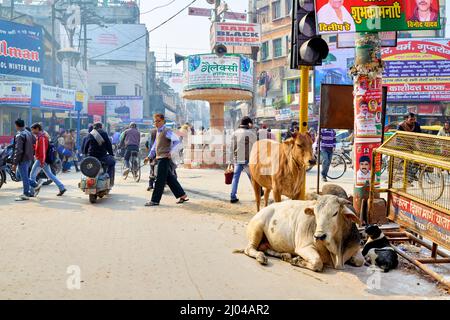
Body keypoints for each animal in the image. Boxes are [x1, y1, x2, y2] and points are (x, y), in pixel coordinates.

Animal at [236, 194, 366, 272]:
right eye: (315, 213)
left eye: (335, 213)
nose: (319, 236)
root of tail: (263, 209)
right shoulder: (303, 247)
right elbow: (318, 262)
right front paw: (297, 260)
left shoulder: (355, 248)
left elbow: (360, 260)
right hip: (256, 229)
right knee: (250, 249)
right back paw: (261, 257)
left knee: (265, 248)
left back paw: (285, 255)